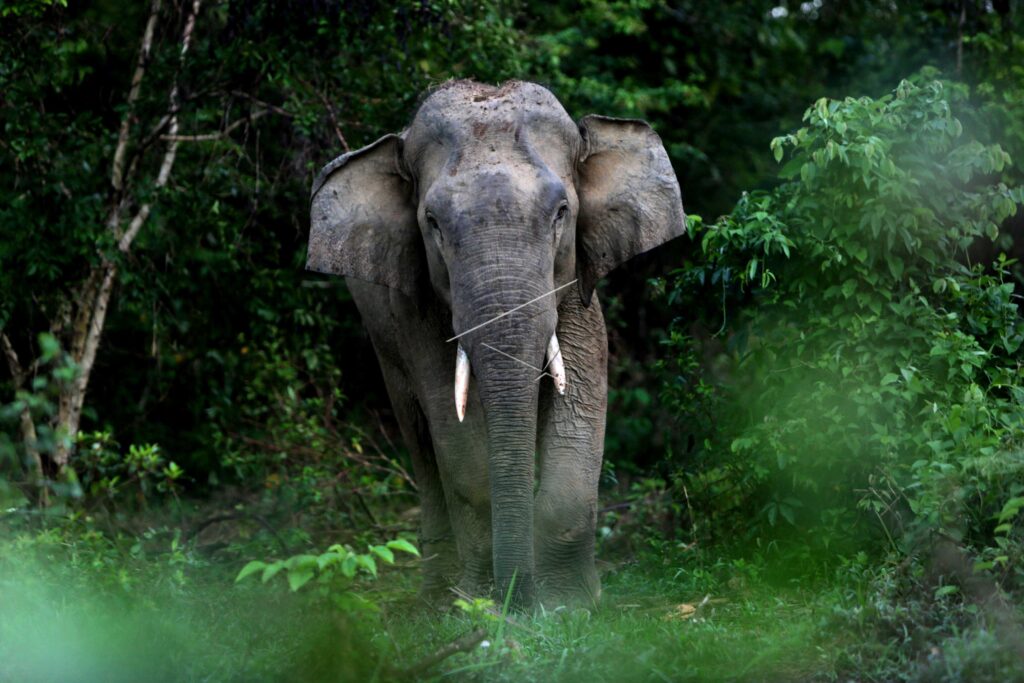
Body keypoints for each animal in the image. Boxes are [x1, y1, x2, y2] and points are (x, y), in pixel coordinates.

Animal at [307, 80, 685, 608]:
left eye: (562, 213)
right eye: (432, 222)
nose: (520, 606)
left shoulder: (578, 289)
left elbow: (581, 401)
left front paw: (568, 604)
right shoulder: (417, 310)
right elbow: (457, 438)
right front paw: (482, 605)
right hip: (383, 339)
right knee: (419, 437)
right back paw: (437, 599)